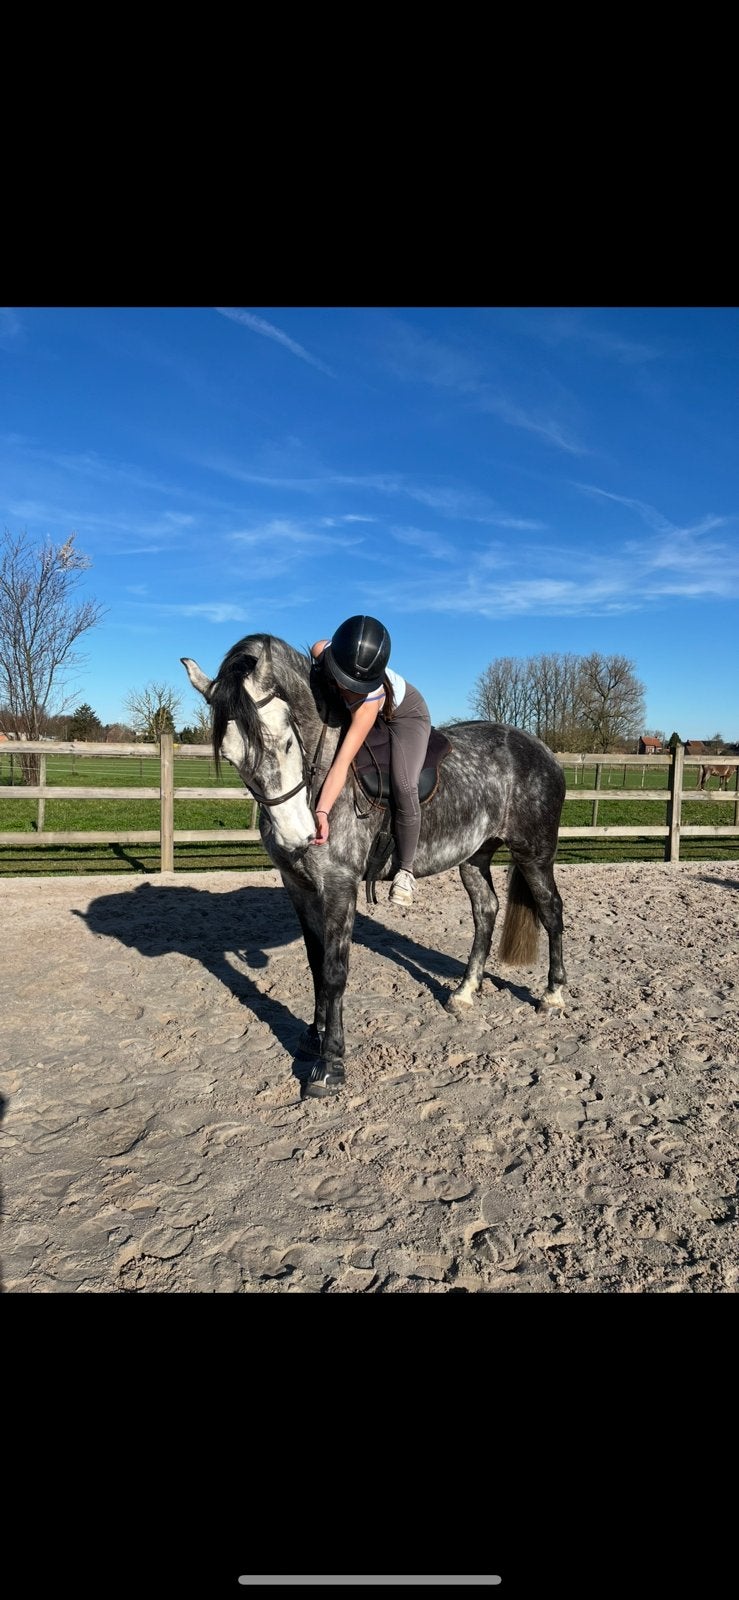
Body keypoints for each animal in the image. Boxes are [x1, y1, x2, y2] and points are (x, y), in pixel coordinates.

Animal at [182, 633, 567, 1097]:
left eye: (287, 741)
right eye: (230, 756)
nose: (297, 834)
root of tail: (541, 749)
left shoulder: (339, 885)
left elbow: (334, 972)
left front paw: (330, 1063)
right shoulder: (298, 886)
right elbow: (315, 964)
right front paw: (312, 1037)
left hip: (534, 854)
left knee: (551, 912)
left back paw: (553, 995)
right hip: (475, 857)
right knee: (485, 912)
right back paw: (464, 993)